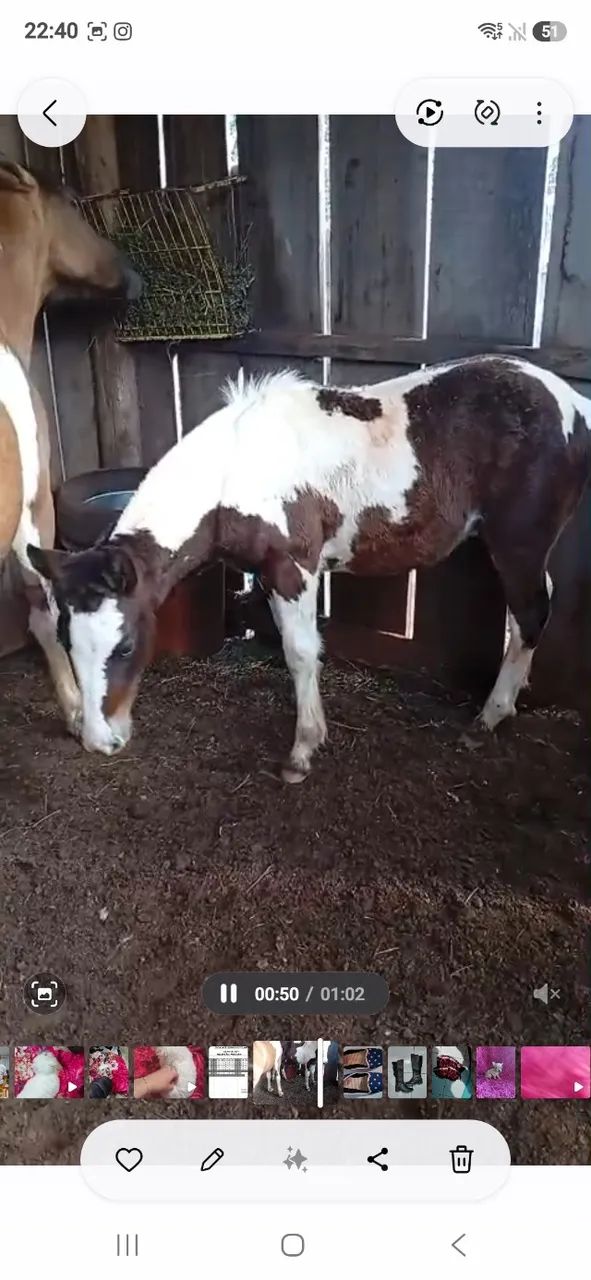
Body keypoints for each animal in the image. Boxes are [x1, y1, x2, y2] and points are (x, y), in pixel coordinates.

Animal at [29, 356, 591, 780]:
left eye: (125, 646)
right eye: (66, 640)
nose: (99, 741)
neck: (236, 468)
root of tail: (574, 405)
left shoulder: (293, 569)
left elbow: (300, 653)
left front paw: (301, 753)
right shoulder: (267, 573)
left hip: (517, 542)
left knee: (531, 614)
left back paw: (486, 720)